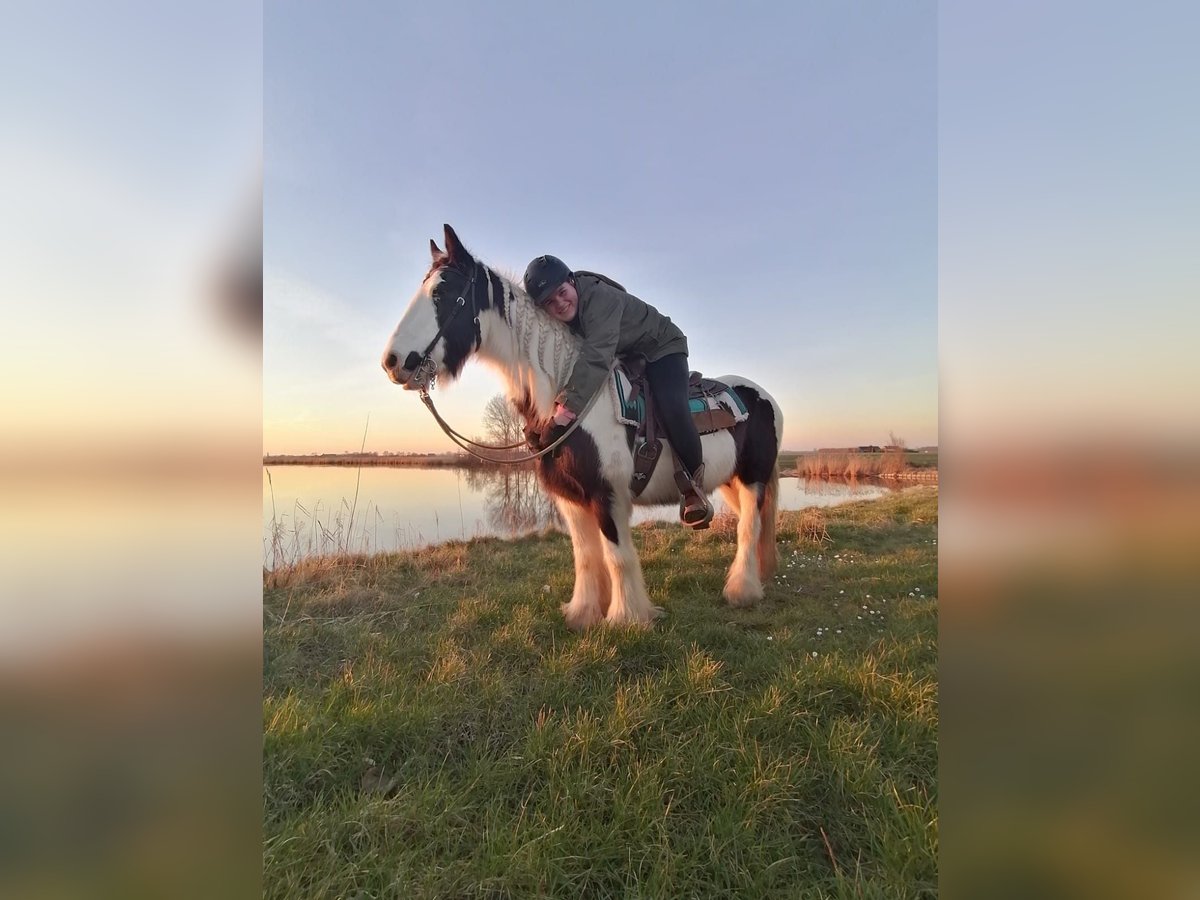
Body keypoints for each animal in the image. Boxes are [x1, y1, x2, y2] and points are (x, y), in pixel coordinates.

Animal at [379, 225, 782, 628]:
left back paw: (741, 591)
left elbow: (616, 555)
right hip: (729, 480)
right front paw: (584, 613)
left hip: (753, 479)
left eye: (442, 293)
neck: (572, 398)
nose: (392, 362)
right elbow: (586, 556)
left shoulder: (608, 495)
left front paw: (626, 618)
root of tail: (762, 396)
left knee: (750, 528)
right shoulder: (570, 498)